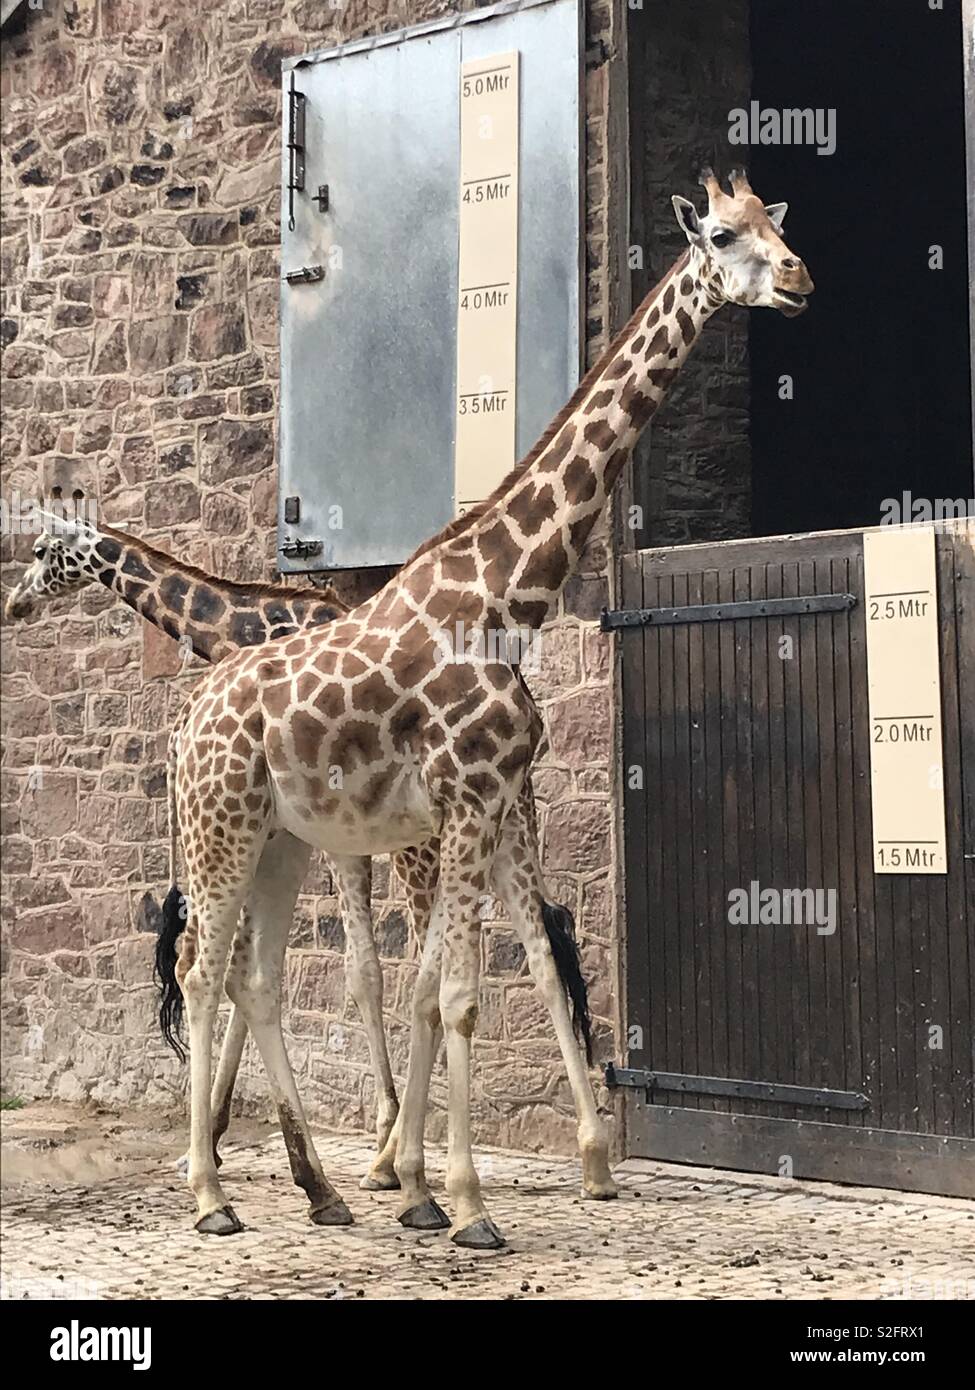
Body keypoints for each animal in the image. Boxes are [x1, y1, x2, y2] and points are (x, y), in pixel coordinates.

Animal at [3, 517, 600, 1189]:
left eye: (39, 553)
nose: (16, 603)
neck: (248, 628)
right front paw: (216, 1138)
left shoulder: (325, 836)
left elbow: (355, 973)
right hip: (496, 826)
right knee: (541, 944)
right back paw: (579, 1158)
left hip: (428, 844)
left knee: (447, 958)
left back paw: (409, 1154)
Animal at [161, 168, 812, 1245]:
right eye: (723, 235)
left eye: (775, 224)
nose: (799, 279)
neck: (510, 595)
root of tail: (184, 725)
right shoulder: (465, 799)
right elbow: (462, 997)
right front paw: (466, 1203)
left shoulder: (497, 802)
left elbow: (453, 987)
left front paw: (418, 1185)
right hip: (219, 829)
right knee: (199, 972)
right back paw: (211, 1195)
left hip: (283, 838)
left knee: (252, 976)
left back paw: (321, 1188)